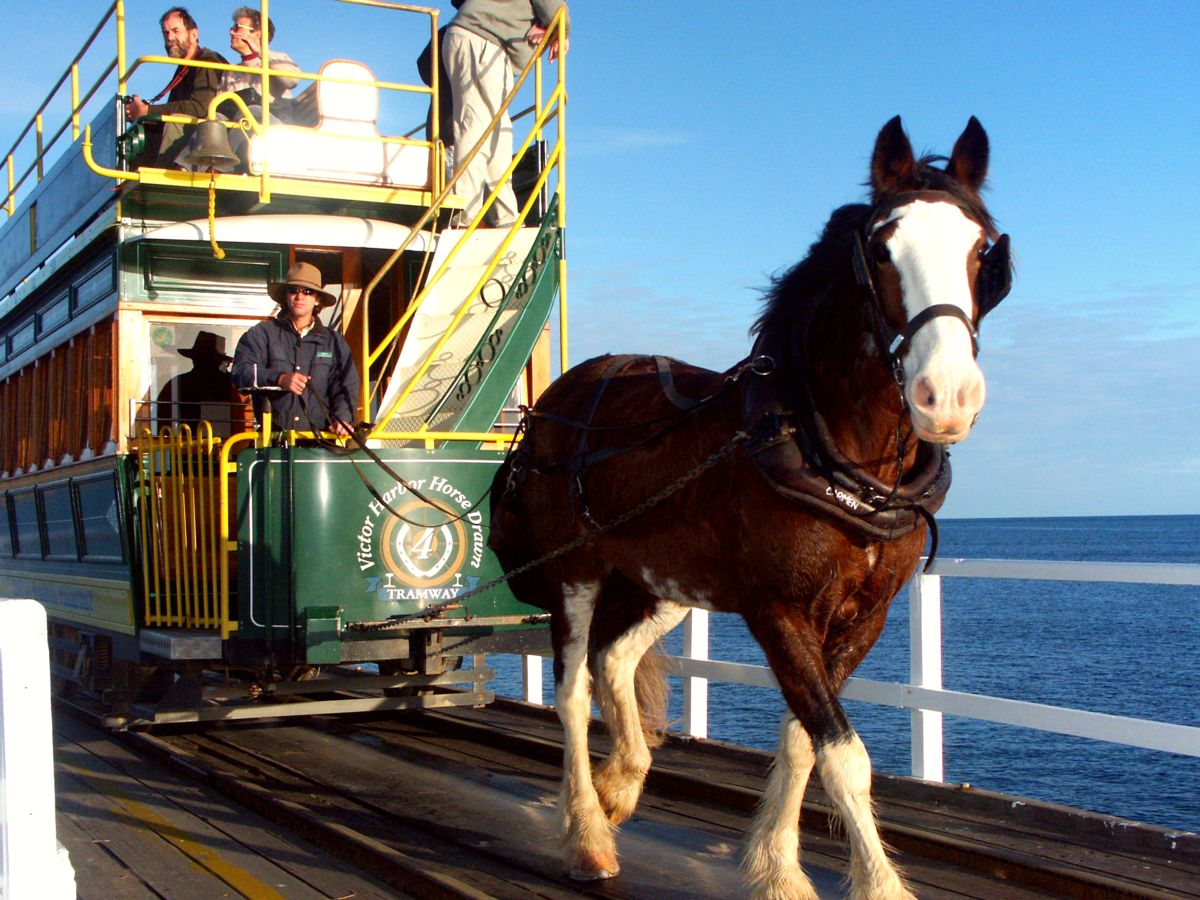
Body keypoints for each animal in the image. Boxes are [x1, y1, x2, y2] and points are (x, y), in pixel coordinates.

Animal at [489, 116, 1012, 899]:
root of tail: (556, 399)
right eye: (882, 248)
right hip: (577, 572)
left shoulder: (863, 616)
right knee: (574, 691)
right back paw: (587, 833)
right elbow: (843, 754)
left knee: (615, 660)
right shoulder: (778, 610)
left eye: (983, 249)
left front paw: (775, 864)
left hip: (661, 582)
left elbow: (803, 738)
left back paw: (623, 783)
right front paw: (869, 882)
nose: (946, 395)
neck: (832, 448)